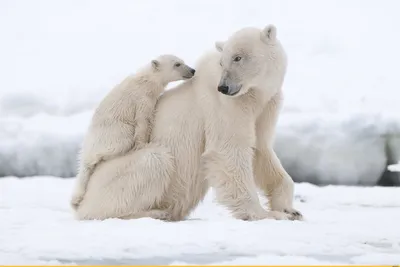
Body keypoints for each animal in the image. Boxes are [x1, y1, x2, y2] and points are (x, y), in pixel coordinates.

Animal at [70, 55, 195, 213]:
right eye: (177, 64)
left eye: (182, 61)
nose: (192, 70)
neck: (146, 80)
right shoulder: (142, 99)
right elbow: (142, 121)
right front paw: (142, 144)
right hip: (113, 132)